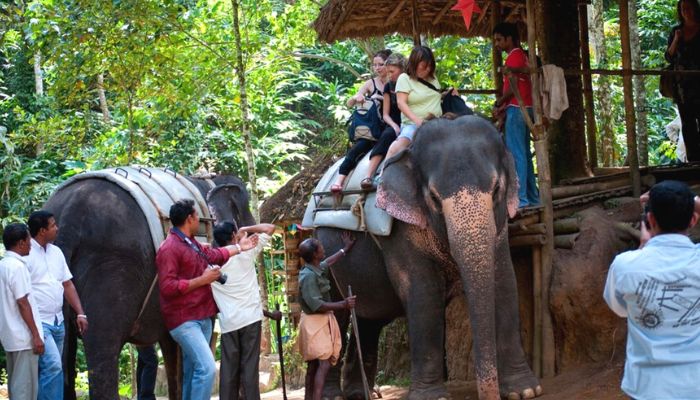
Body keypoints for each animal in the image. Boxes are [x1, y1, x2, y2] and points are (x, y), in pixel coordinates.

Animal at [318, 115, 540, 400]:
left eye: (496, 190)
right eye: (433, 198)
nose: (490, 395)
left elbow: (505, 282)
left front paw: (525, 390)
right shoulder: (401, 229)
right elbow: (424, 293)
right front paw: (431, 397)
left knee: (370, 318)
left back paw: (360, 393)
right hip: (320, 246)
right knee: (335, 312)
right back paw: (332, 395)